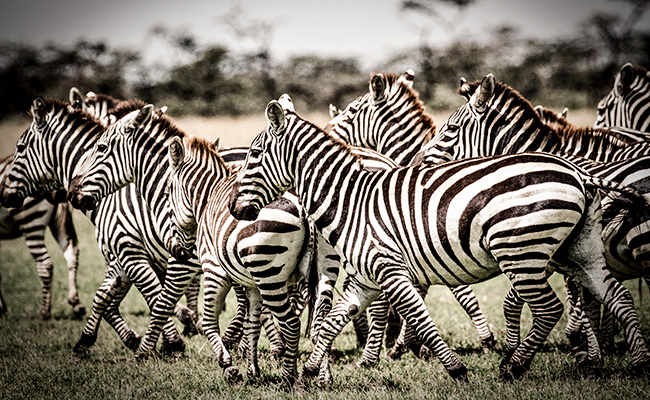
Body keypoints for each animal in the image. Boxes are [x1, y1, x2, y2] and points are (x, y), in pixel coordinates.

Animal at [0, 155, 85, 320]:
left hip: (30, 219)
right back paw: (75, 303)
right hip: (58, 219)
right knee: (72, 252)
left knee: (45, 263)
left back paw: (44, 312)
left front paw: (1, 309)